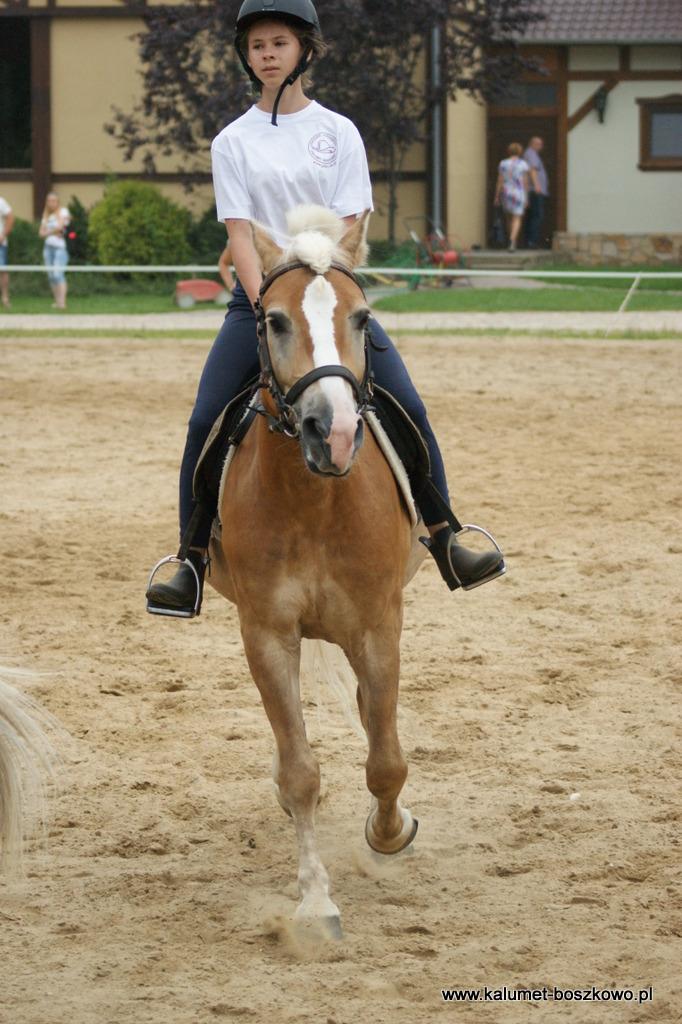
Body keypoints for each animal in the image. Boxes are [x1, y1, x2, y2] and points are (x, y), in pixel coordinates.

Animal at [208, 205, 425, 937]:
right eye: (273, 320)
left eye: (362, 318)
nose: (330, 432)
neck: (315, 499)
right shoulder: (267, 633)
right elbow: (303, 770)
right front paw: (316, 902)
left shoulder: (379, 626)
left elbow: (386, 759)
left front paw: (389, 833)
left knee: (375, 720)